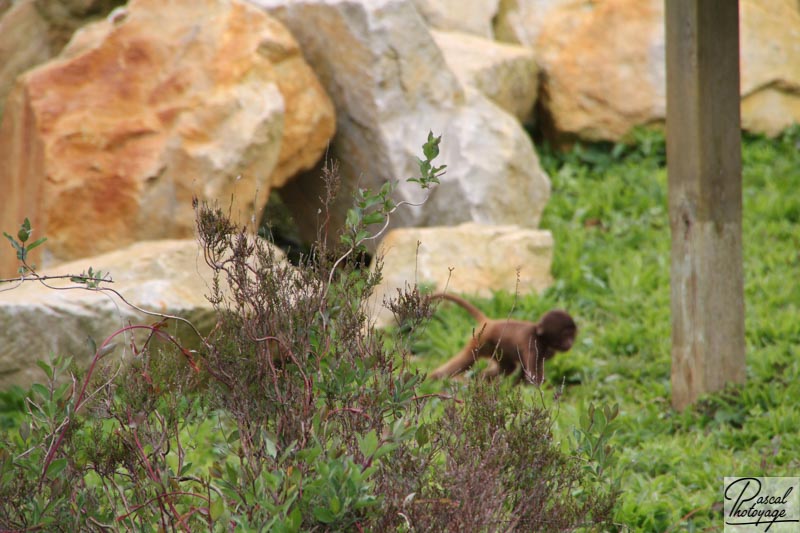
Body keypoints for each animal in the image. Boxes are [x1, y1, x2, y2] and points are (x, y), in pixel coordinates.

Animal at [428, 294, 580, 384]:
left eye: (572, 335)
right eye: (566, 335)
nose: (570, 342)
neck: (540, 336)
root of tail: (490, 322)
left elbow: (524, 372)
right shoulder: (532, 344)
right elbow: (531, 376)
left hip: (494, 349)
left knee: (507, 368)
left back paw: (480, 381)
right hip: (481, 340)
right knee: (466, 361)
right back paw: (433, 378)